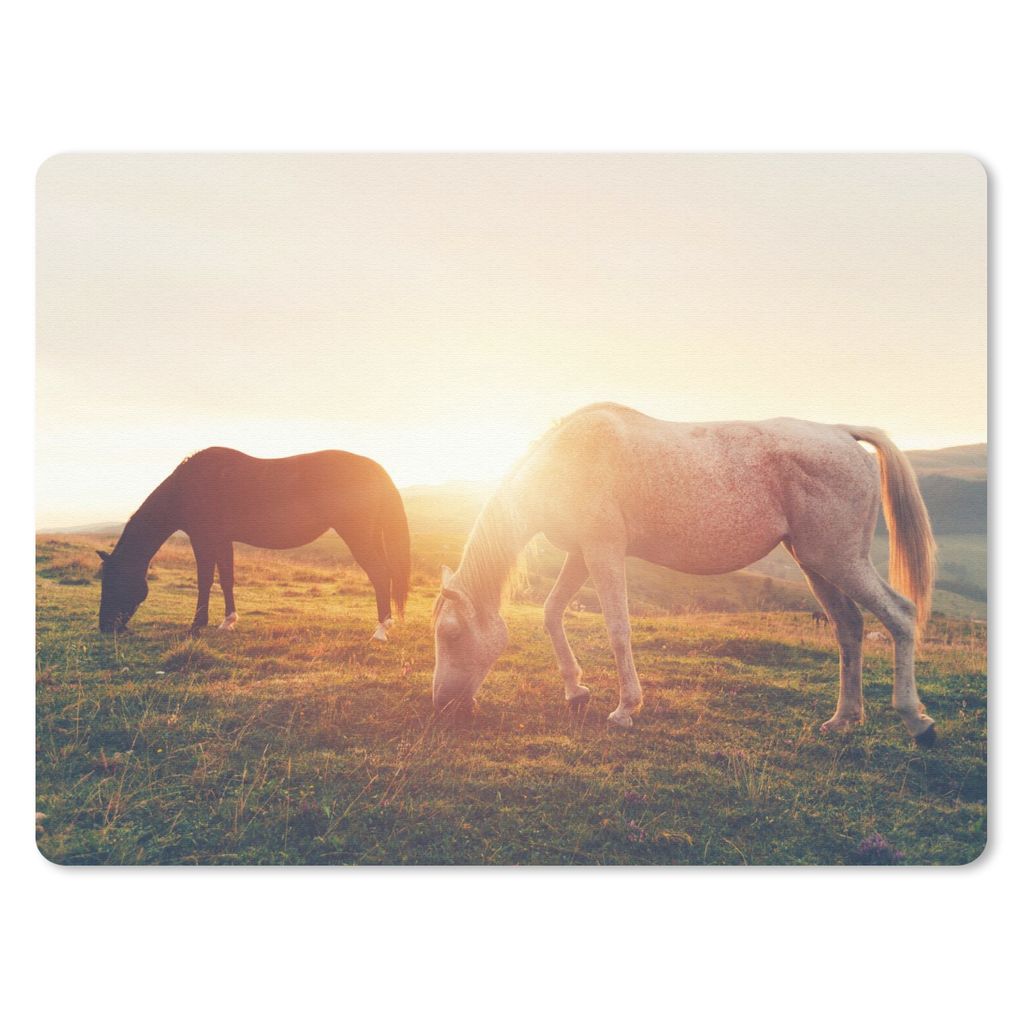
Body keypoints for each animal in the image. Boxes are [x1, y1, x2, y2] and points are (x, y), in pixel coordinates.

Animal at [97, 448, 411, 640]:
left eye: (113, 582)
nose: (105, 627)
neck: (187, 488)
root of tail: (375, 469)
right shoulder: (223, 540)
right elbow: (226, 579)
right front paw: (228, 621)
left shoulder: (203, 539)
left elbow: (204, 580)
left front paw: (197, 625)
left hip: (357, 534)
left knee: (380, 574)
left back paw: (380, 630)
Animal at [432, 403, 938, 746]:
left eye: (450, 635)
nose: (441, 705)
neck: (566, 460)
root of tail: (840, 433)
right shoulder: (581, 553)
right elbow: (552, 613)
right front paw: (576, 691)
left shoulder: (604, 550)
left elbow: (617, 628)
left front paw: (625, 709)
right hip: (815, 564)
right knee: (848, 628)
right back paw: (844, 719)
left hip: (839, 560)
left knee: (900, 615)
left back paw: (916, 720)